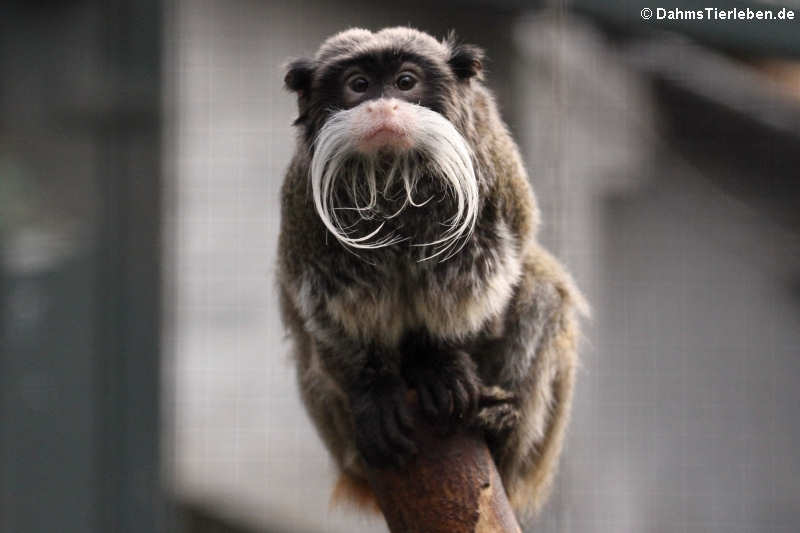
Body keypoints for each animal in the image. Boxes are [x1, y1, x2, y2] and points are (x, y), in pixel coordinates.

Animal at [276, 27, 588, 516]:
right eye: (359, 85)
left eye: (405, 82)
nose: (383, 106)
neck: (393, 178)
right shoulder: (306, 211)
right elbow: (324, 314)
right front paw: (376, 392)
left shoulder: (493, 173)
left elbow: (493, 278)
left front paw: (437, 361)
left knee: (544, 289)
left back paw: (500, 424)